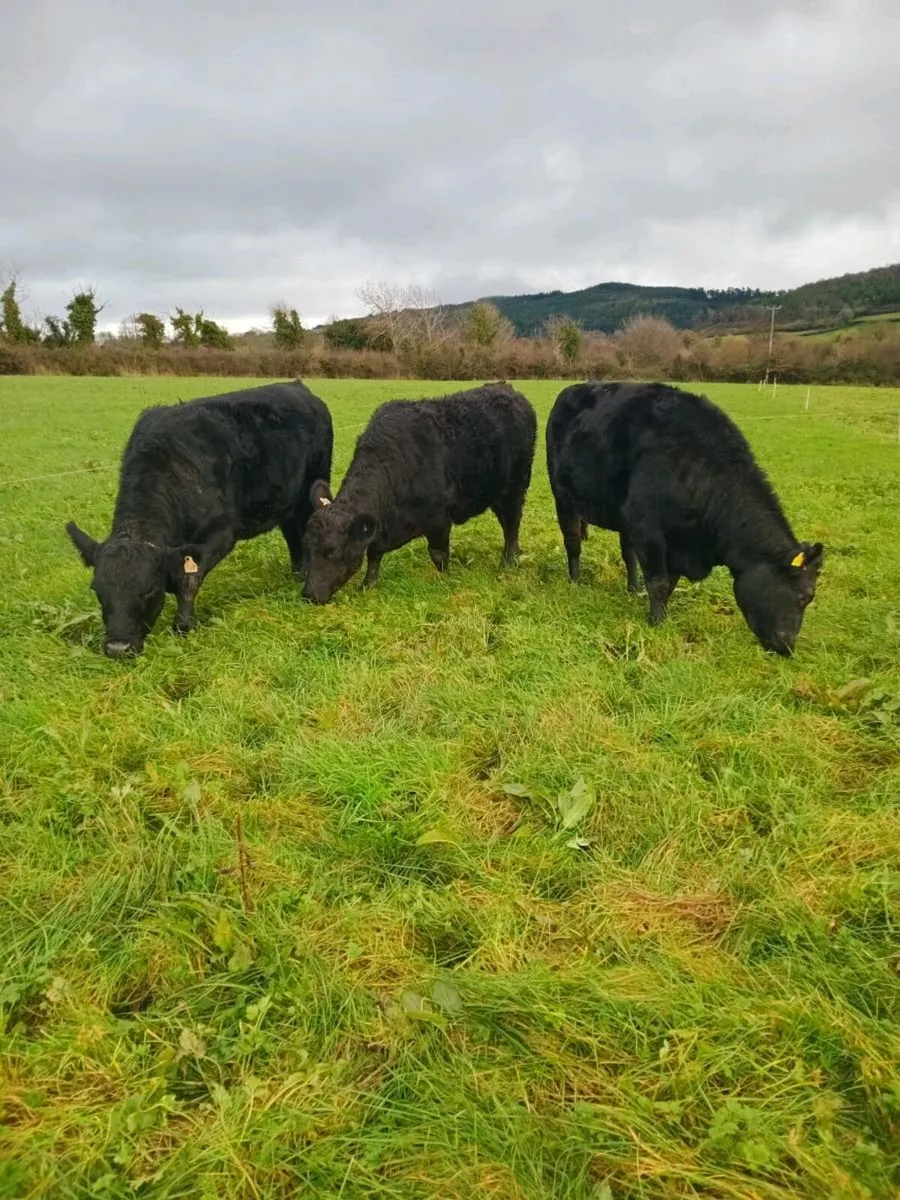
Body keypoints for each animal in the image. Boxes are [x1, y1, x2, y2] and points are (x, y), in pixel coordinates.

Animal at [66, 379, 333, 657]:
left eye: (148, 591)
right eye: (97, 590)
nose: (118, 648)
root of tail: (296, 386)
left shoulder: (219, 535)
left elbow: (188, 580)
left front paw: (183, 626)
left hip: (312, 486)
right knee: (292, 534)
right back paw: (297, 574)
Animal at [300, 382, 537, 604]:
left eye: (331, 551)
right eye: (307, 548)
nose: (308, 595)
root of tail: (508, 389)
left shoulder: (440, 521)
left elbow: (438, 555)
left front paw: (446, 580)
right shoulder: (379, 527)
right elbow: (374, 554)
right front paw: (368, 586)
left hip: (515, 488)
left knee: (512, 524)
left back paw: (508, 561)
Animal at [546, 381, 823, 655]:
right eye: (805, 596)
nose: (788, 647)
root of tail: (573, 388)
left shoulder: (675, 542)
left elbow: (669, 582)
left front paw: (661, 613)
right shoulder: (648, 529)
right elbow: (658, 581)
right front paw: (657, 622)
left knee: (628, 554)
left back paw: (633, 589)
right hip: (564, 499)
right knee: (573, 544)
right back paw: (575, 581)